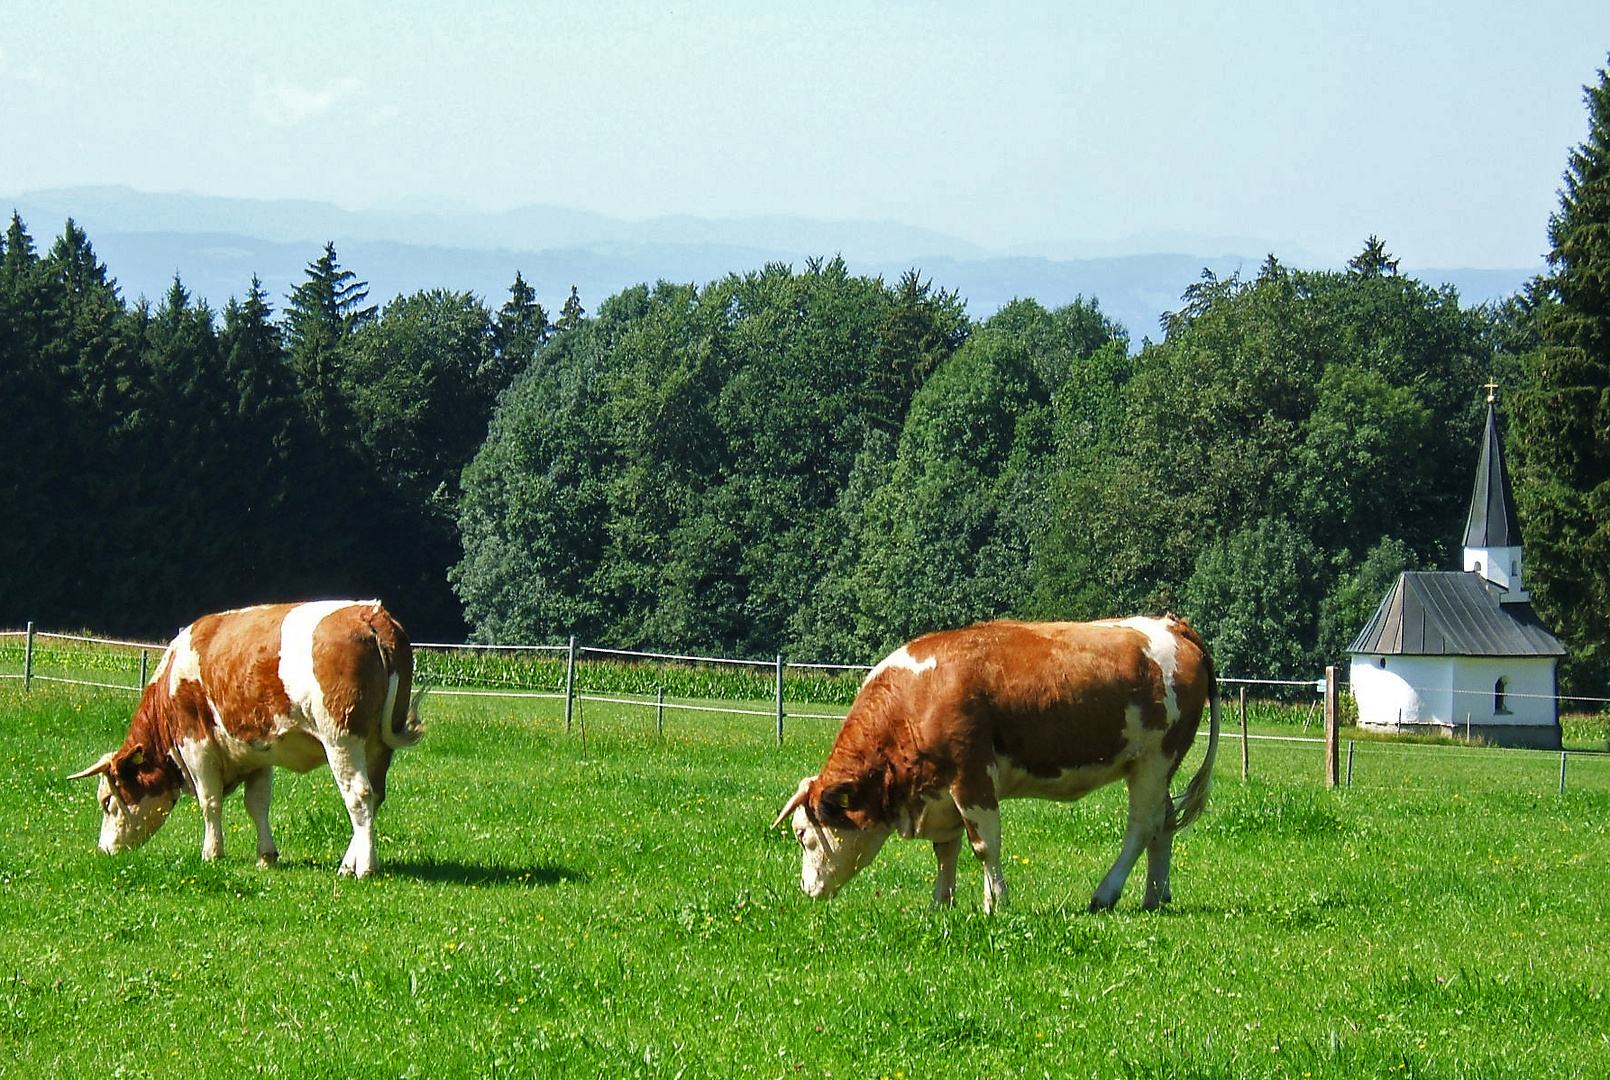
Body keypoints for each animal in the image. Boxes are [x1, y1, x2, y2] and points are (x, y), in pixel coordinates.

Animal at [70, 598, 425, 875]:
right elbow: (258, 804)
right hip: (378, 746)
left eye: (107, 802)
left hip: (342, 739)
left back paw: (364, 867)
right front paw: (266, 856)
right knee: (375, 796)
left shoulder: (197, 745)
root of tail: (371, 613)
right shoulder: (258, 750)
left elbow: (209, 802)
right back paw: (349, 863)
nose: (105, 851)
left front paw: (212, 853)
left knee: (359, 796)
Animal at [776, 618, 1217, 914]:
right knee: (1163, 824)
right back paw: (1154, 895)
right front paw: (941, 903)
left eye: (803, 835)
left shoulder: (970, 775)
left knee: (1142, 827)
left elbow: (984, 845)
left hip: (1154, 760)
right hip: (1155, 768)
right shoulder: (939, 790)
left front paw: (997, 904)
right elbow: (946, 849)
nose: (805, 889)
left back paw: (1106, 894)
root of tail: (1171, 624)